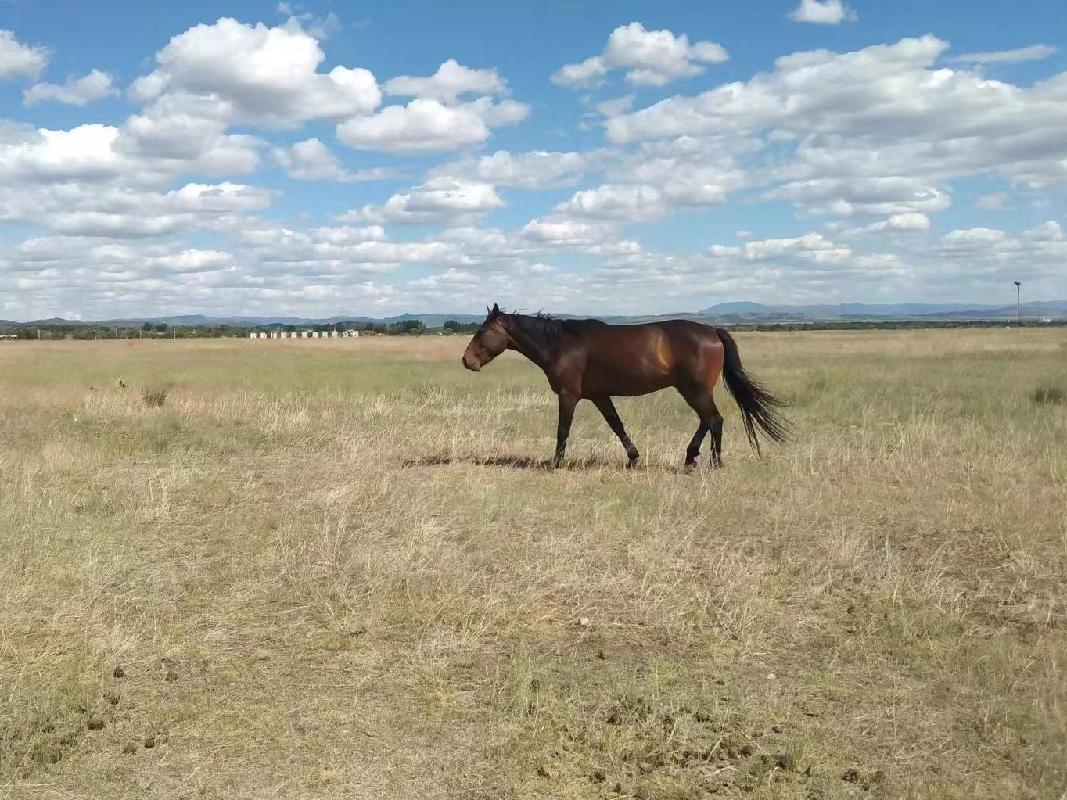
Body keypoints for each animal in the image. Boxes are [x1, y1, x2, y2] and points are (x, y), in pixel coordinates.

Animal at [461, 304, 789, 469]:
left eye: (482, 331)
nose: (467, 360)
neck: (562, 344)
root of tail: (712, 330)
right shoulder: (598, 395)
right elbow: (616, 424)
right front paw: (633, 458)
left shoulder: (569, 395)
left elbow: (563, 429)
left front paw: (555, 463)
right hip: (693, 390)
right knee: (709, 421)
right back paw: (697, 458)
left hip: (694, 390)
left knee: (713, 420)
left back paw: (706, 461)